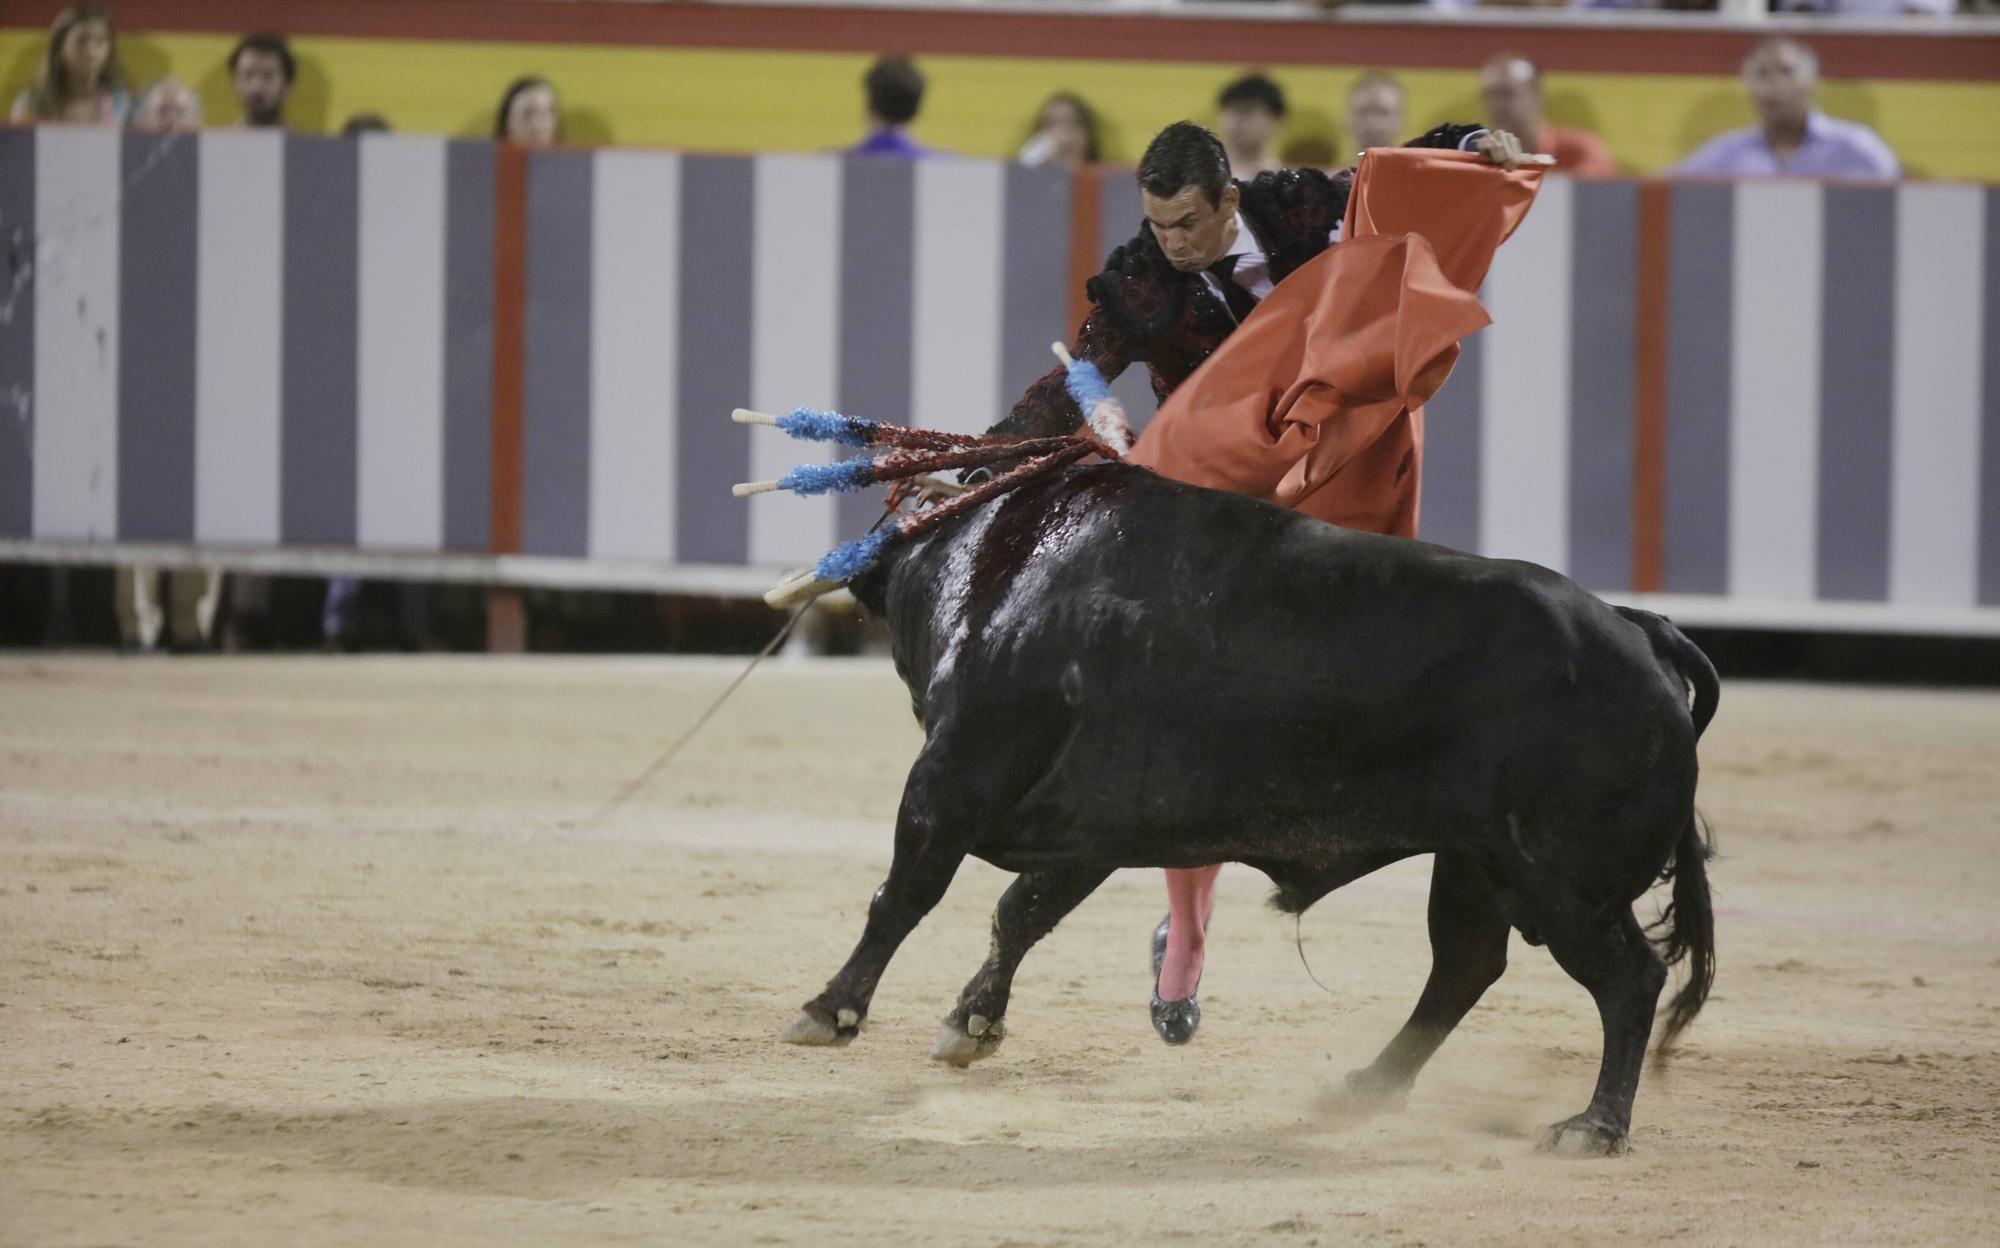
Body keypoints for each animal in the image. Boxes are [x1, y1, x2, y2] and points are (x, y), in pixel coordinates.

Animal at [780, 460, 1720, 1160]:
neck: (998, 560)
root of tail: (1636, 629)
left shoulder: (954, 777)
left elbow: (906, 895)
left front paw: (830, 1011)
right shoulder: (1092, 827)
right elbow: (1022, 913)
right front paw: (972, 1022)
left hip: (1568, 886)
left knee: (1627, 981)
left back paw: (1594, 1127)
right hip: (1480, 866)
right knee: (1464, 967)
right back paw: (1367, 1087)